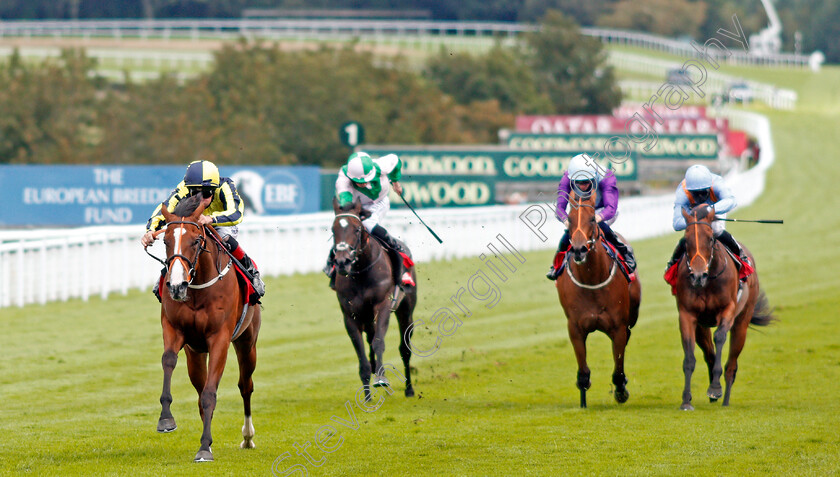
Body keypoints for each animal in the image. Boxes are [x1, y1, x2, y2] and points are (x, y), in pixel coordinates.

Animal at [153, 193, 260, 462]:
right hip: (195, 354)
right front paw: (166, 420)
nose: (176, 285)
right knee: (200, 390)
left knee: (245, 386)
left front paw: (203, 449)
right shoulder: (174, 330)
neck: (198, 287)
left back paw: (247, 437)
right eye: (165, 241)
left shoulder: (219, 339)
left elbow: (211, 393)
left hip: (247, 342)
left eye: (195, 241)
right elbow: (169, 360)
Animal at [332, 197, 416, 398]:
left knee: (405, 349)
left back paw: (409, 388)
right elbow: (361, 353)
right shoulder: (350, 315)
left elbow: (379, 342)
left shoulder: (383, 305)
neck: (362, 271)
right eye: (333, 230)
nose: (342, 262)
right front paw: (367, 396)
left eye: (357, 229)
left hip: (406, 309)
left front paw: (381, 378)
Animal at [556, 190, 644, 406]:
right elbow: (583, 373)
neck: (592, 279)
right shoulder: (575, 328)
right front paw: (583, 399)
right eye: (570, 219)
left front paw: (621, 391)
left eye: (591, 219)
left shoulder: (618, 327)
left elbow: (618, 370)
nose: (579, 249)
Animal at [676, 204, 776, 410]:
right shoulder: (687, 314)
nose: (698, 276)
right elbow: (689, 357)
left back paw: (725, 398)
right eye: (686, 239)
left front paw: (715, 388)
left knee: (732, 364)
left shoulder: (728, 309)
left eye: (710, 238)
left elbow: (720, 337)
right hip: (702, 326)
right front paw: (686, 400)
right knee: (709, 353)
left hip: (742, 322)